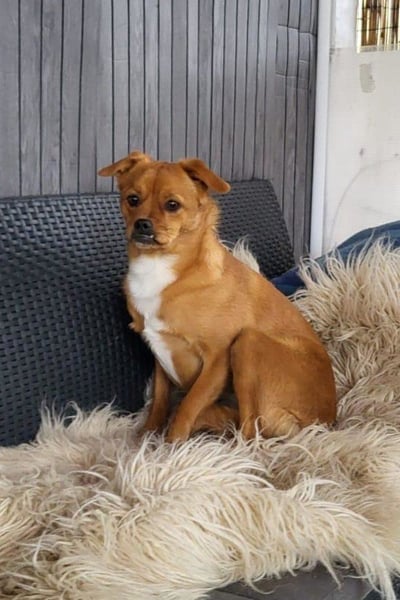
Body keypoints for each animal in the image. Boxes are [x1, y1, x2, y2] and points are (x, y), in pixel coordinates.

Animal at [99, 151, 336, 442]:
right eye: (132, 199)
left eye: (172, 205)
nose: (142, 223)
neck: (163, 268)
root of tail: (325, 422)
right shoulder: (160, 358)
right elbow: (159, 400)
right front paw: (147, 436)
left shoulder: (216, 360)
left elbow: (187, 407)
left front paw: (171, 447)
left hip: (248, 342)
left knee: (249, 431)